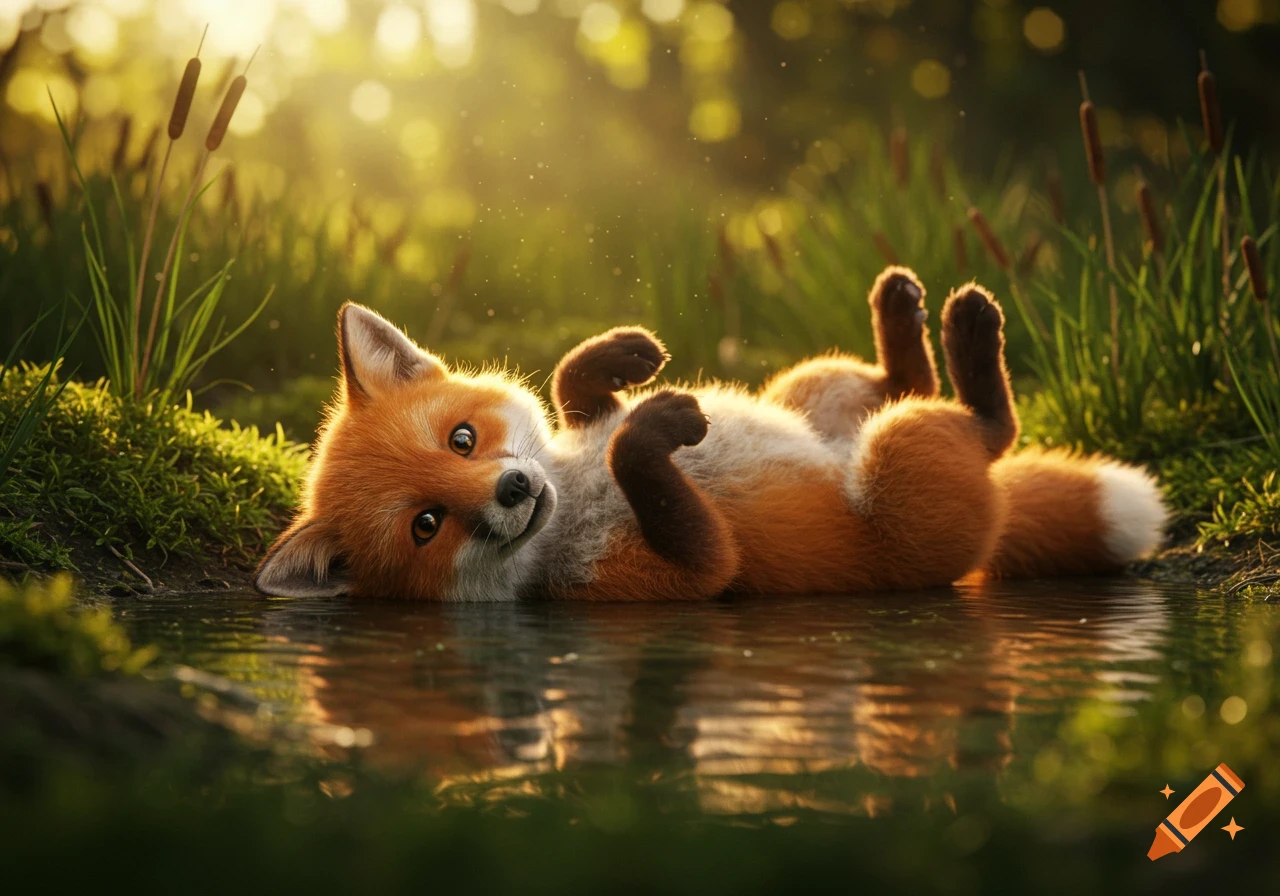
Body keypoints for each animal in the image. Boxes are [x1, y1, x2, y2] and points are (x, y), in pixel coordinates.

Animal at [254, 266, 1168, 601]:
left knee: (902, 385)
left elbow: (573, 388)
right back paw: (970, 333)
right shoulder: (673, 577)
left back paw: (906, 313)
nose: (515, 490)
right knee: (983, 425)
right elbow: (656, 478)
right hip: (903, 464)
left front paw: (617, 358)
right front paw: (655, 424)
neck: (577, 493)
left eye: (462, 441)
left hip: (816, 387)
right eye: (426, 525)